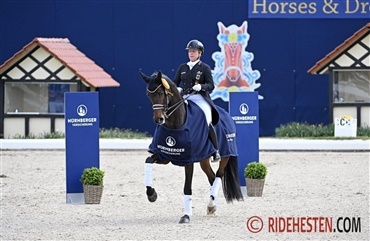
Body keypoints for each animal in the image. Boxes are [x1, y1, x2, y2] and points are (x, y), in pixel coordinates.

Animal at [139, 70, 243, 224]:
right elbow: (148, 161)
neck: (176, 125)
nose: (159, 119)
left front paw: (186, 216)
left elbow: (187, 188)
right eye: (148, 95)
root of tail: (227, 115)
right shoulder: (164, 156)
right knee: (212, 178)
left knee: (219, 175)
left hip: (225, 156)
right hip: (204, 159)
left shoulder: (189, 160)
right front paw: (151, 194)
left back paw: (212, 204)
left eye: (161, 93)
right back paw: (212, 206)